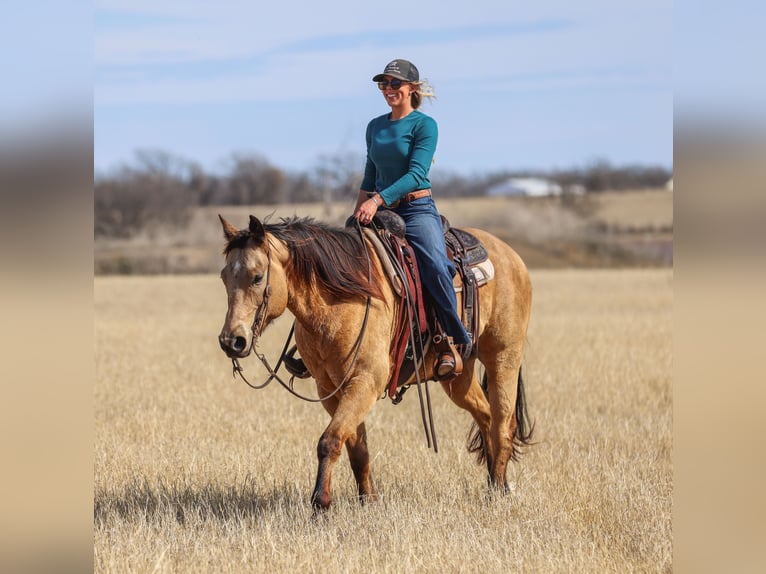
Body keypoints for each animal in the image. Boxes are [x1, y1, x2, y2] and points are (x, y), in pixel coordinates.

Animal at [217, 214, 533, 510]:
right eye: (224, 277)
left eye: (258, 277)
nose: (232, 341)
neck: (340, 300)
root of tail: (512, 256)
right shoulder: (330, 389)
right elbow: (356, 447)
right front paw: (368, 500)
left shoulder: (366, 381)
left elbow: (330, 440)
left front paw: (320, 504)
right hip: (458, 376)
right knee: (486, 417)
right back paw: (495, 484)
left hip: (503, 358)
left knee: (503, 423)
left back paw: (499, 489)